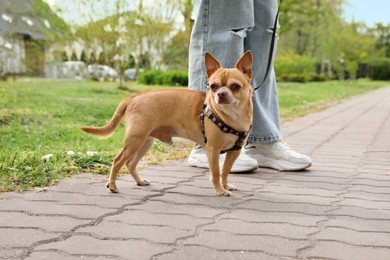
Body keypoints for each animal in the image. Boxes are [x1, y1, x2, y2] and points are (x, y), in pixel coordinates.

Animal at [80, 50, 254, 196]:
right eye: (213, 86)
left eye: (235, 86)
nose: (221, 94)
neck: (233, 116)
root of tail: (133, 97)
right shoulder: (213, 150)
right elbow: (216, 173)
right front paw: (220, 190)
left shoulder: (234, 151)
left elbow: (225, 171)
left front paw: (226, 185)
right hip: (135, 140)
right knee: (117, 160)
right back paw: (112, 185)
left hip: (145, 142)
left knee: (130, 163)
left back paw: (139, 182)